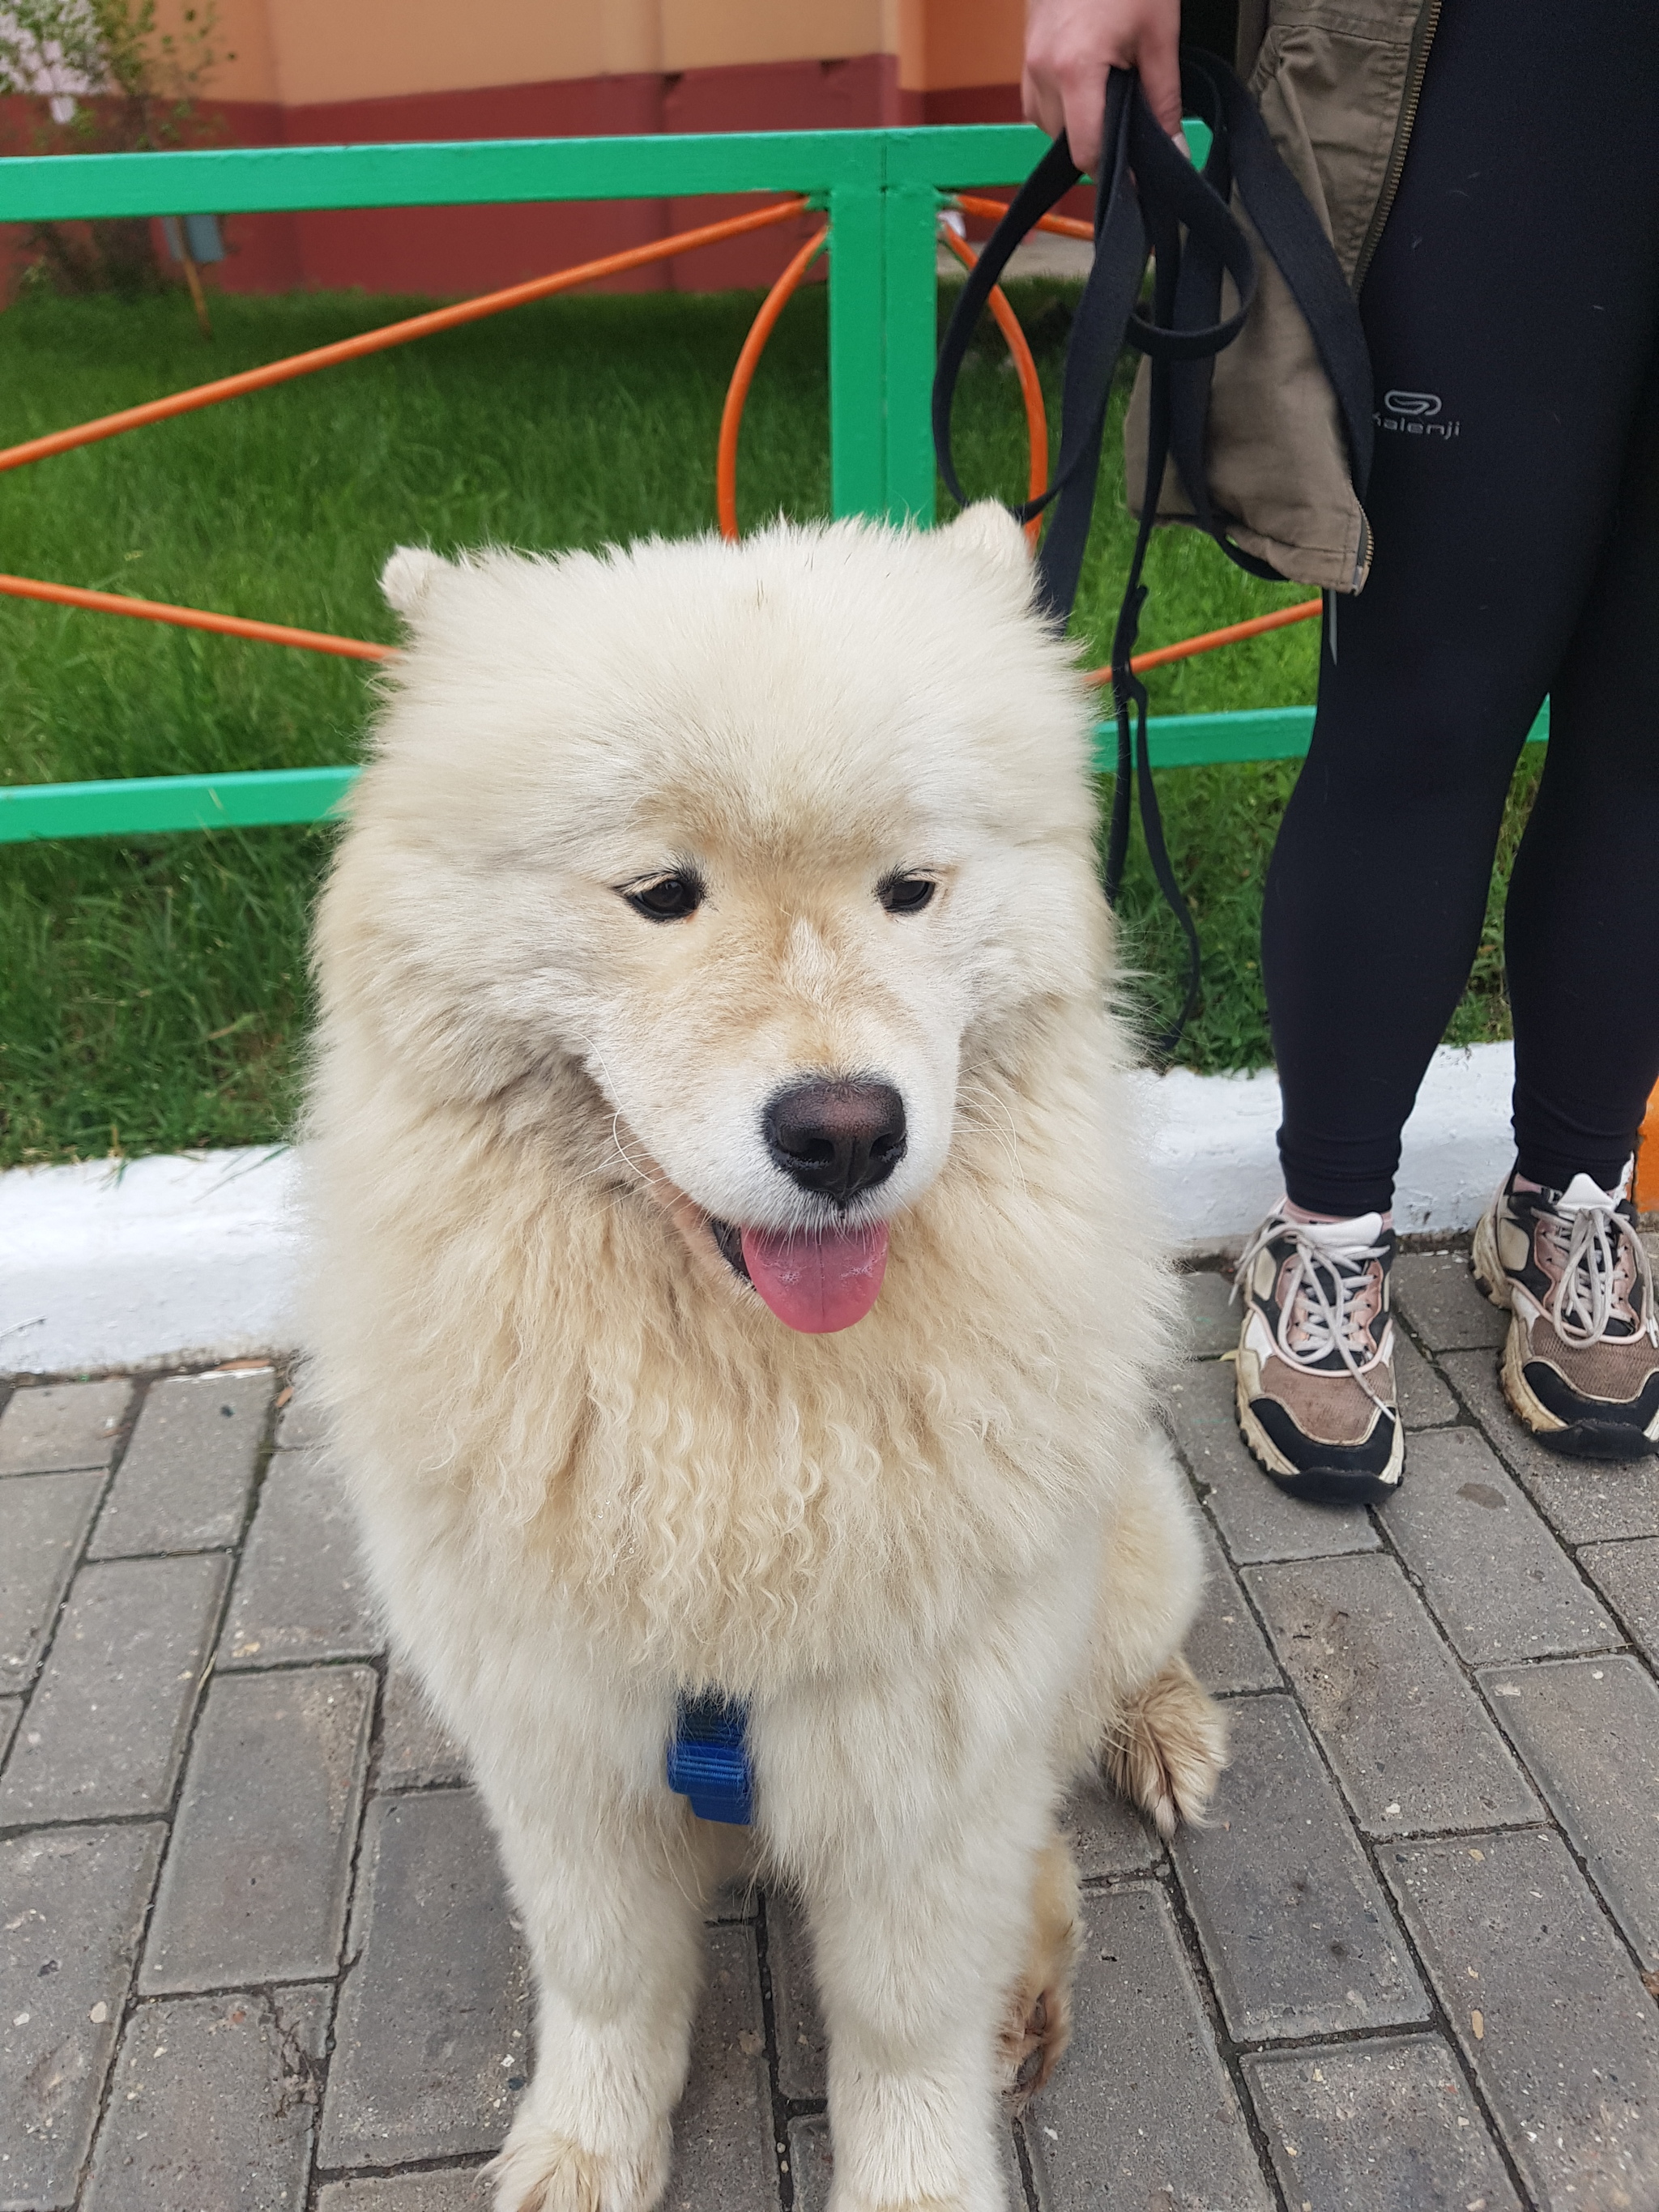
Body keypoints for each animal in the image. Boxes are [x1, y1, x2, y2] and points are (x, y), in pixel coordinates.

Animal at [305, 506, 1230, 2212]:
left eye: (909, 890)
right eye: (659, 892)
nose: (846, 1130)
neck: (743, 1417)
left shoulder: (924, 1755)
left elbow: (903, 2032)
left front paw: (919, 2180)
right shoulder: (565, 1747)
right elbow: (604, 1981)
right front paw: (581, 2153)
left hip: (1125, 1543)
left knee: (1105, 1698)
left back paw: (1141, 1770)